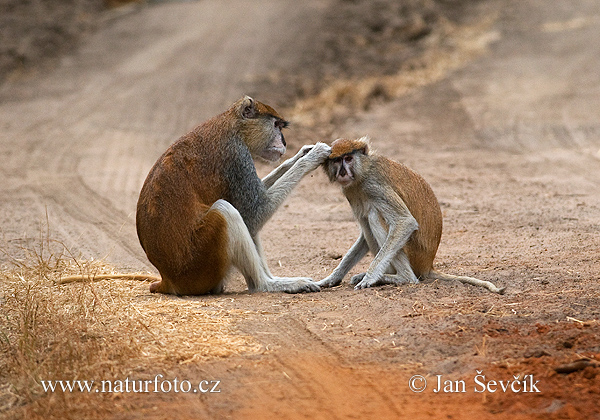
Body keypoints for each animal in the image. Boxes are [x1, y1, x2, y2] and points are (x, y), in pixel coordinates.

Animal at [59, 96, 330, 296]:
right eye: (275, 126)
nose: (284, 143)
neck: (232, 125)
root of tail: (168, 279)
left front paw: (302, 153)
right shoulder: (236, 157)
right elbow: (255, 212)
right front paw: (312, 156)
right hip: (203, 262)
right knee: (226, 211)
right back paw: (267, 284)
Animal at [318, 138, 506, 296]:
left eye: (349, 158)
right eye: (337, 160)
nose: (343, 172)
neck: (363, 171)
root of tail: (428, 265)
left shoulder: (375, 186)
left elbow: (405, 222)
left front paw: (370, 277)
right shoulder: (351, 192)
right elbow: (364, 236)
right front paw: (331, 278)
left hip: (415, 252)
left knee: (373, 216)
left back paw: (400, 277)